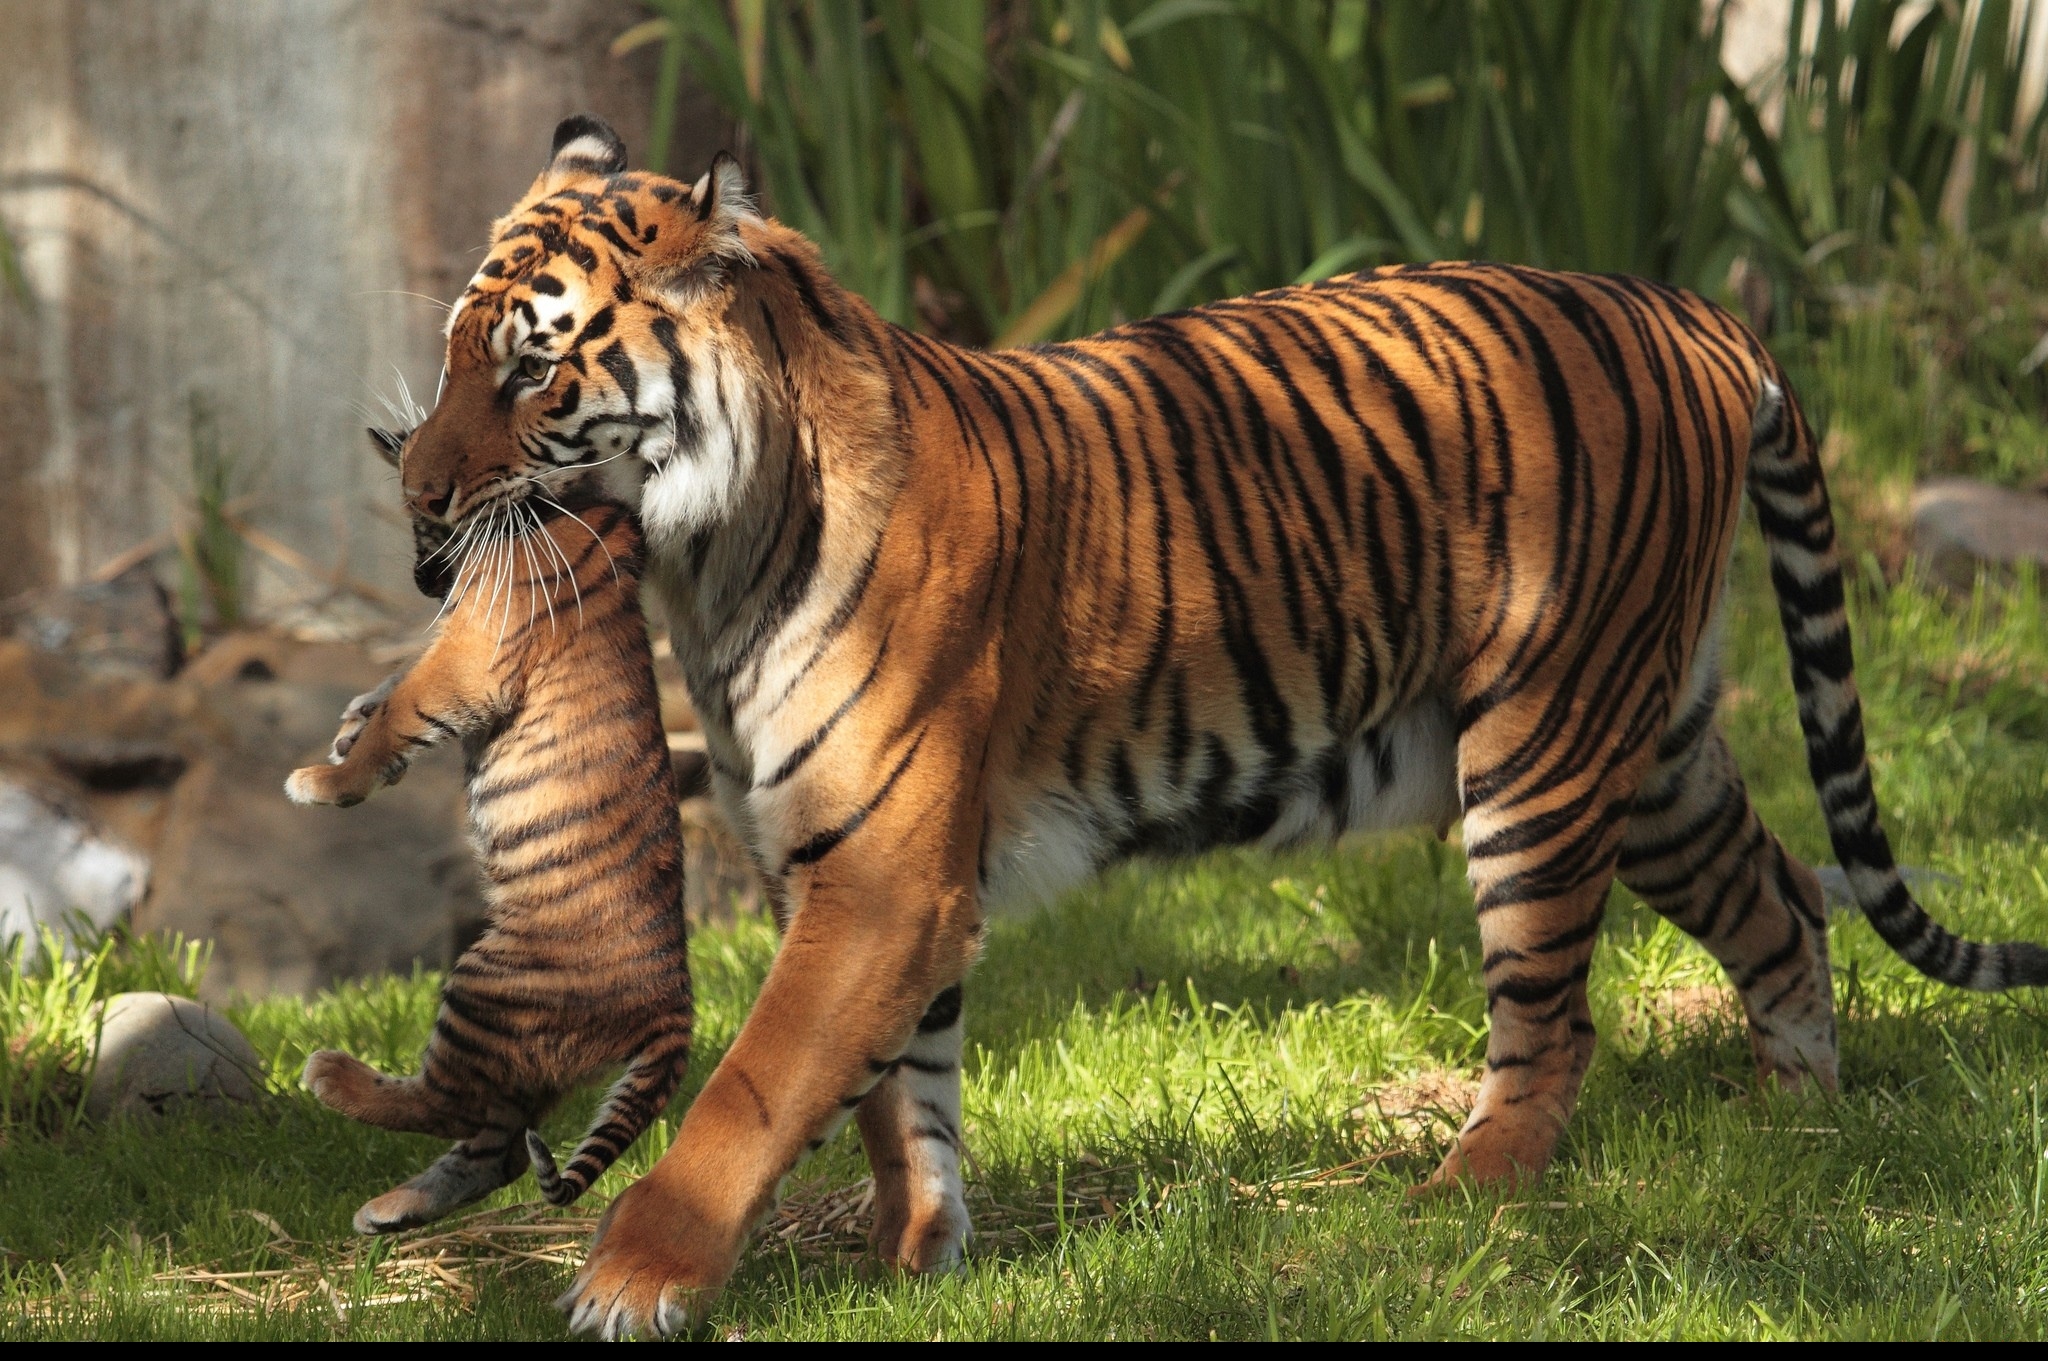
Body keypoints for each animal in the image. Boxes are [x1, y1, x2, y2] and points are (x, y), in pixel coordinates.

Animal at [380, 114, 2031, 1326]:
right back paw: (1795, 1123)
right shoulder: (861, 868)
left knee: (1559, 1016)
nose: (418, 498)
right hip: (1654, 743)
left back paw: (1468, 1194)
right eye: (457, 358)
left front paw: (631, 1280)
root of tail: (1685, 304)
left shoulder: (883, 870)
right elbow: (903, 1093)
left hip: (1544, 755)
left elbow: (759, 1084)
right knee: (1784, 897)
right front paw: (917, 1264)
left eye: (529, 369)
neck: (705, 565)